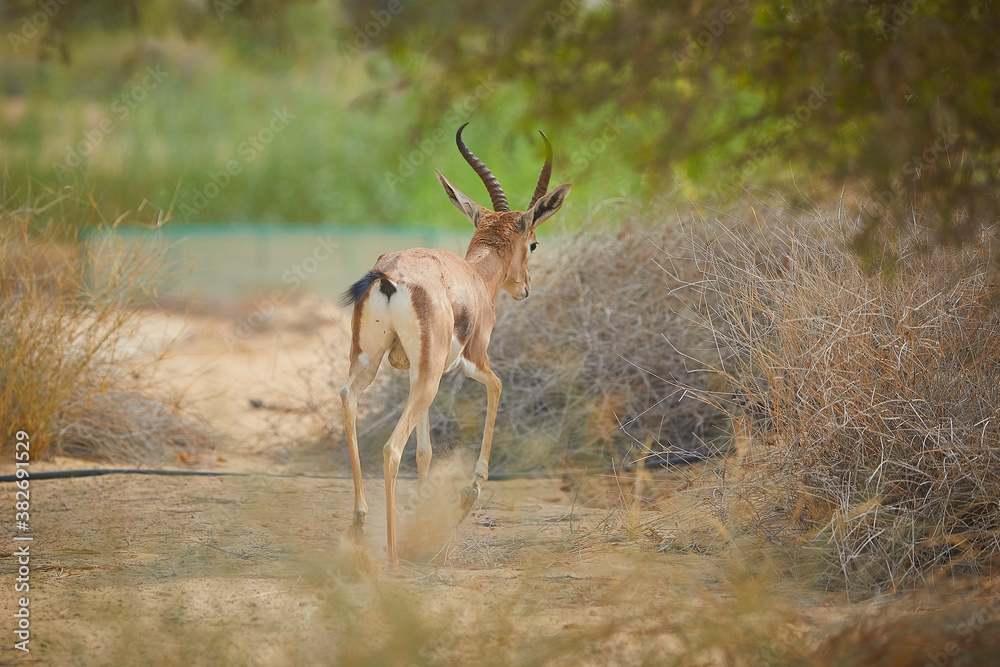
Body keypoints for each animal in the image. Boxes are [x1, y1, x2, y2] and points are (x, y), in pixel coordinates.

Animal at [340, 123, 571, 567]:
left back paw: (359, 526)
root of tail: (387, 276)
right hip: (427, 377)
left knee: (348, 398)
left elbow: (425, 451)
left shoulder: (413, 371)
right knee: (391, 448)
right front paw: (469, 493)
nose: (525, 289)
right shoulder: (472, 360)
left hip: (375, 364)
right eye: (533, 243)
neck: (476, 277)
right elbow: (498, 386)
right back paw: (392, 556)